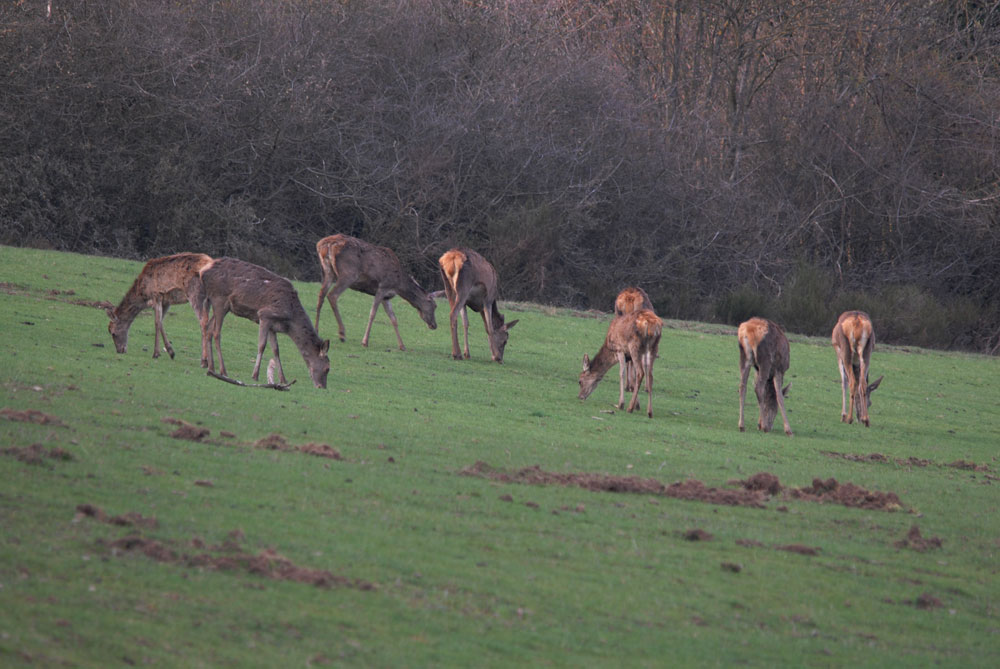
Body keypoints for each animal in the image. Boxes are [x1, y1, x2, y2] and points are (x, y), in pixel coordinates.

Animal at [196, 258, 332, 388]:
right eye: (327, 368)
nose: (322, 386)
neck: (289, 318)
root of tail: (203, 271)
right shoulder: (265, 315)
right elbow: (261, 345)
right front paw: (255, 375)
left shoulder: (273, 326)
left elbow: (276, 350)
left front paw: (283, 379)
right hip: (219, 299)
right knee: (216, 333)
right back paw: (223, 370)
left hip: (222, 305)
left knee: (208, 328)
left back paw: (210, 367)